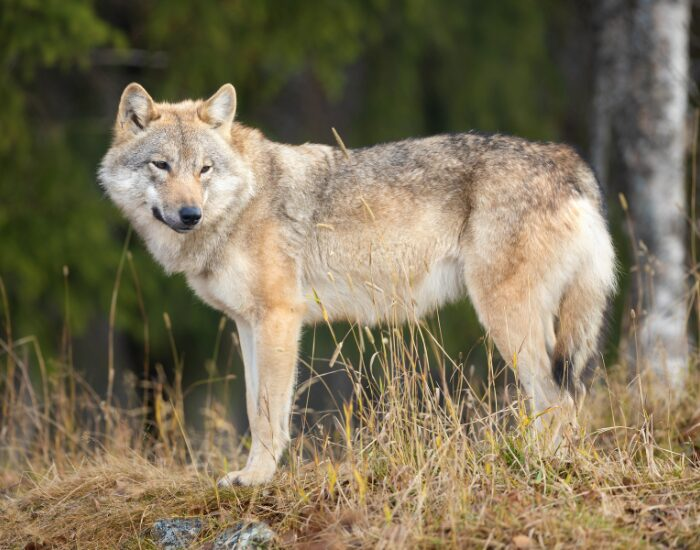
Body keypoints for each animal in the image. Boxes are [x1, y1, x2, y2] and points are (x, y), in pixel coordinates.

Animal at [99, 83, 616, 486]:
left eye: (204, 169)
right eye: (161, 165)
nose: (190, 214)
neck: (242, 202)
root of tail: (567, 160)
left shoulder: (280, 319)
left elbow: (267, 414)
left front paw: (256, 479)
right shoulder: (248, 324)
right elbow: (252, 403)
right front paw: (250, 473)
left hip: (508, 321)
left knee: (558, 399)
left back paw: (540, 465)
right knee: (562, 399)